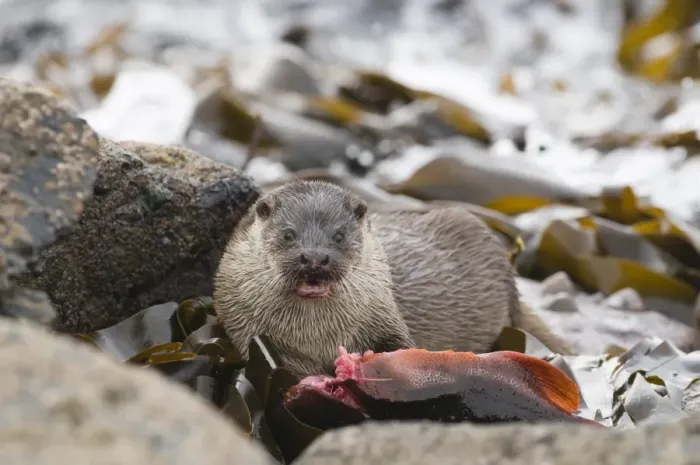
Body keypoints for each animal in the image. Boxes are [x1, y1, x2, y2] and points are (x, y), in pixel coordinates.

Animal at [213, 180, 572, 379]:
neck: (316, 337)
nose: (315, 257)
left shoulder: (384, 316)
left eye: (339, 235)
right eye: (289, 234)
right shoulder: (244, 328)